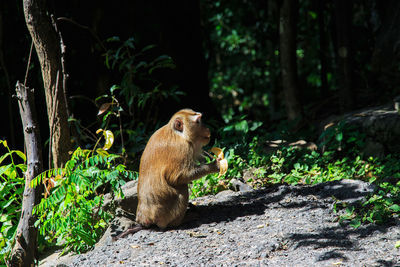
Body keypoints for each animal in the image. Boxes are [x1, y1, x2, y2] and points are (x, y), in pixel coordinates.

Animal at [114, 109, 220, 241]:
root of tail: (144, 221)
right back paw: (180, 221)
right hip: (164, 215)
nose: (207, 129)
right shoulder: (182, 149)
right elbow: (177, 178)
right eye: (198, 121)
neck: (179, 135)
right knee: (182, 189)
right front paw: (215, 166)